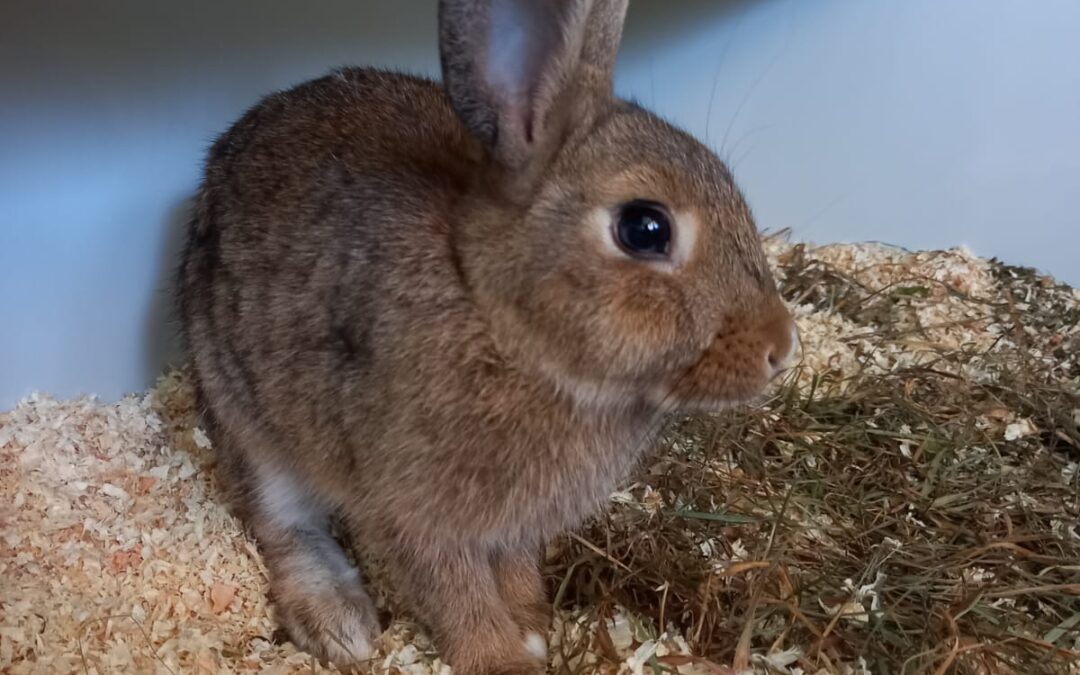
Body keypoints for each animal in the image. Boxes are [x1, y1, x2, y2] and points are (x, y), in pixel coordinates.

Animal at [177, 0, 798, 673]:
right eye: (645, 227)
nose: (781, 347)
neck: (503, 326)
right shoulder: (413, 509)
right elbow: (454, 592)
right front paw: (503, 658)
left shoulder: (516, 526)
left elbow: (514, 568)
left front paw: (533, 624)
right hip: (247, 419)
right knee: (281, 523)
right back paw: (339, 623)